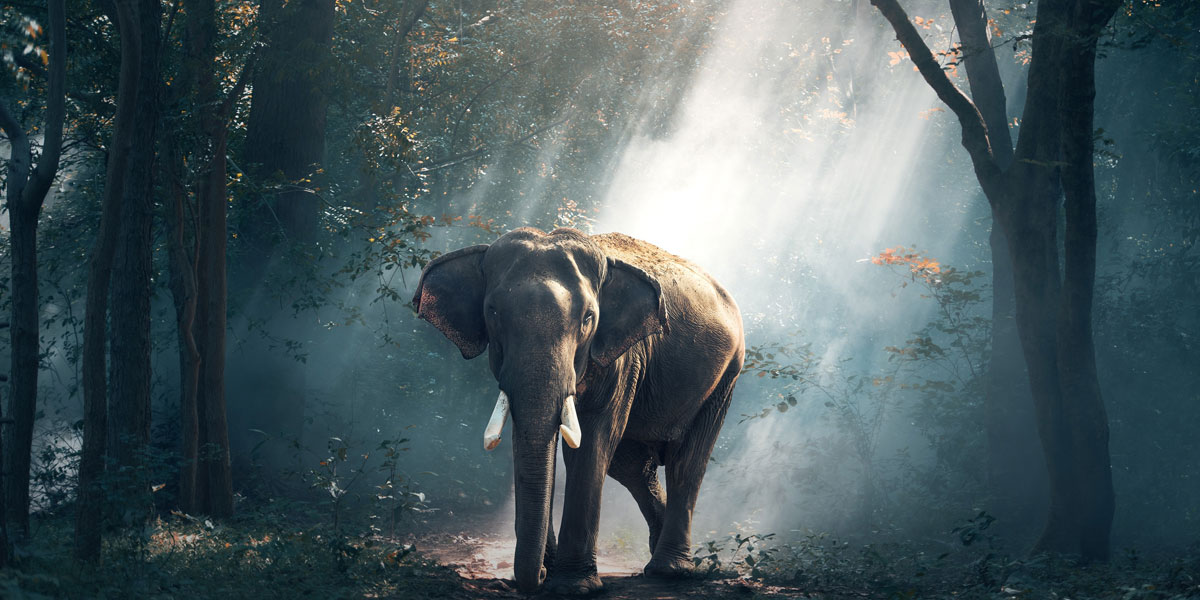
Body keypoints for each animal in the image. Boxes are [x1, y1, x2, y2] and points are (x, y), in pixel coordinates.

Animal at [412, 227, 744, 595]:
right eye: (493, 312)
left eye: (588, 318)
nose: (539, 575)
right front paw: (552, 570)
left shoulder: (623, 358)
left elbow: (592, 443)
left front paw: (574, 586)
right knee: (632, 466)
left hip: (726, 375)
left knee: (687, 461)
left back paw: (670, 571)